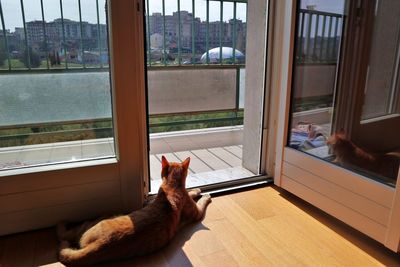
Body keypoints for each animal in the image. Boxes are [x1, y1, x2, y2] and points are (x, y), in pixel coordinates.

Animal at [58, 156, 212, 266]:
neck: (172, 187)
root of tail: (101, 244)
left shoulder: (195, 212)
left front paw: (200, 192)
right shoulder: (197, 212)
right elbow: (196, 197)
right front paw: (201, 192)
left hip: (99, 219)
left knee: (67, 233)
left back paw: (62, 226)